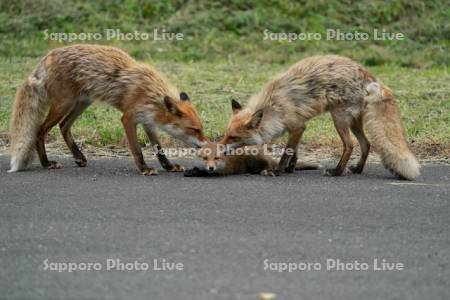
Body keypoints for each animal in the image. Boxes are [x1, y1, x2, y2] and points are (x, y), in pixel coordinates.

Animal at [7, 44, 207, 176]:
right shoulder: (129, 118)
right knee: (40, 131)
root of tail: (47, 56)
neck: (152, 93)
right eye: (194, 130)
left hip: (81, 104)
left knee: (63, 126)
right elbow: (137, 149)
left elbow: (159, 149)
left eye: (202, 129)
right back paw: (46, 163)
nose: (207, 146)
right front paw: (144, 168)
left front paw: (169, 166)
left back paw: (78, 157)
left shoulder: (148, 121)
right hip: (63, 105)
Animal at [182, 142, 316, 177]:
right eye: (205, 158)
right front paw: (191, 170)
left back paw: (267, 172)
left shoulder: (224, 171)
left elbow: (204, 173)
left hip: (254, 155)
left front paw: (196, 172)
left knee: (269, 166)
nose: (211, 167)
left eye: (216, 158)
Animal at [223, 55, 420, 179]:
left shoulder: (297, 126)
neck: (273, 107)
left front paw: (277, 171)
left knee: (350, 146)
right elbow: (294, 151)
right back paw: (357, 169)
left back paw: (337, 172)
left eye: (233, 137)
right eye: (225, 135)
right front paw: (290, 168)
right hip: (354, 122)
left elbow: (287, 152)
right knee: (366, 144)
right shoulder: (299, 127)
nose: (220, 150)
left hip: (338, 118)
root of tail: (366, 73)